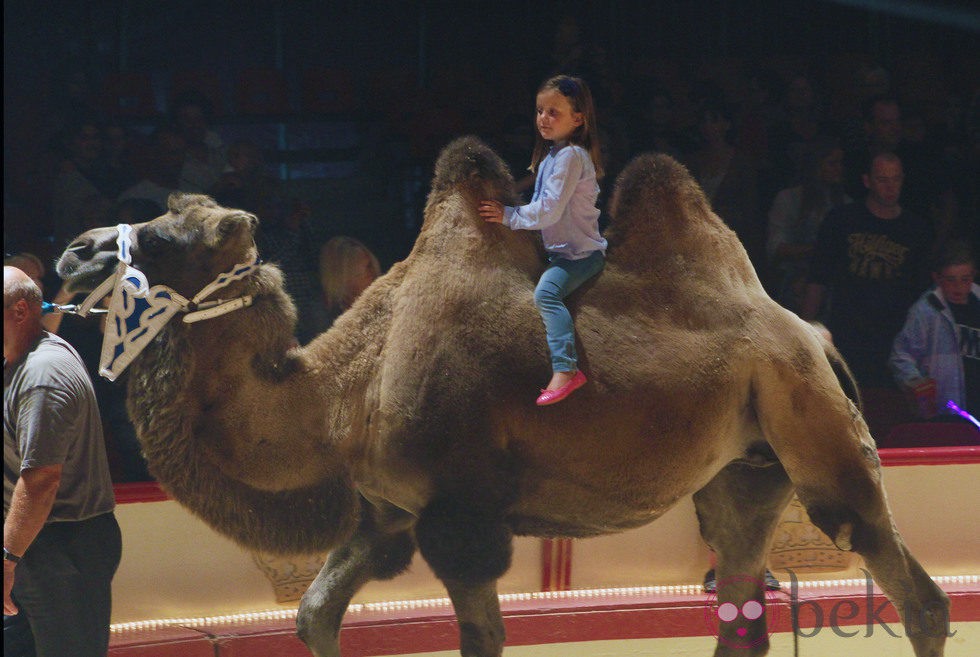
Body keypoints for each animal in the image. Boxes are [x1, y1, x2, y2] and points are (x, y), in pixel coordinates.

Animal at [55, 136, 948, 652]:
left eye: (166, 236)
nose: (73, 250)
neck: (343, 398)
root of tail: (815, 334)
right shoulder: (389, 514)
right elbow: (313, 615)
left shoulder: (461, 517)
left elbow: (479, 637)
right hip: (746, 468)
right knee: (741, 581)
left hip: (813, 424)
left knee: (903, 577)